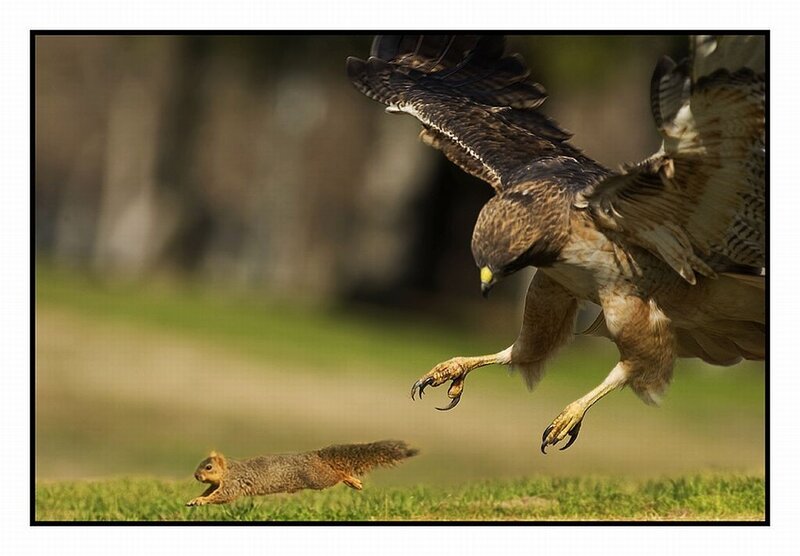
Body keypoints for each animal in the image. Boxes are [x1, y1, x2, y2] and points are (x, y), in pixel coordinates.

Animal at [186, 440, 418, 506]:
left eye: (208, 467)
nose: (196, 476)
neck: (229, 471)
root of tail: (316, 456)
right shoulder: (217, 485)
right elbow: (211, 493)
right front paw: (195, 499)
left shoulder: (234, 483)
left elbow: (224, 496)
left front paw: (200, 502)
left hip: (320, 478)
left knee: (338, 474)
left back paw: (352, 481)